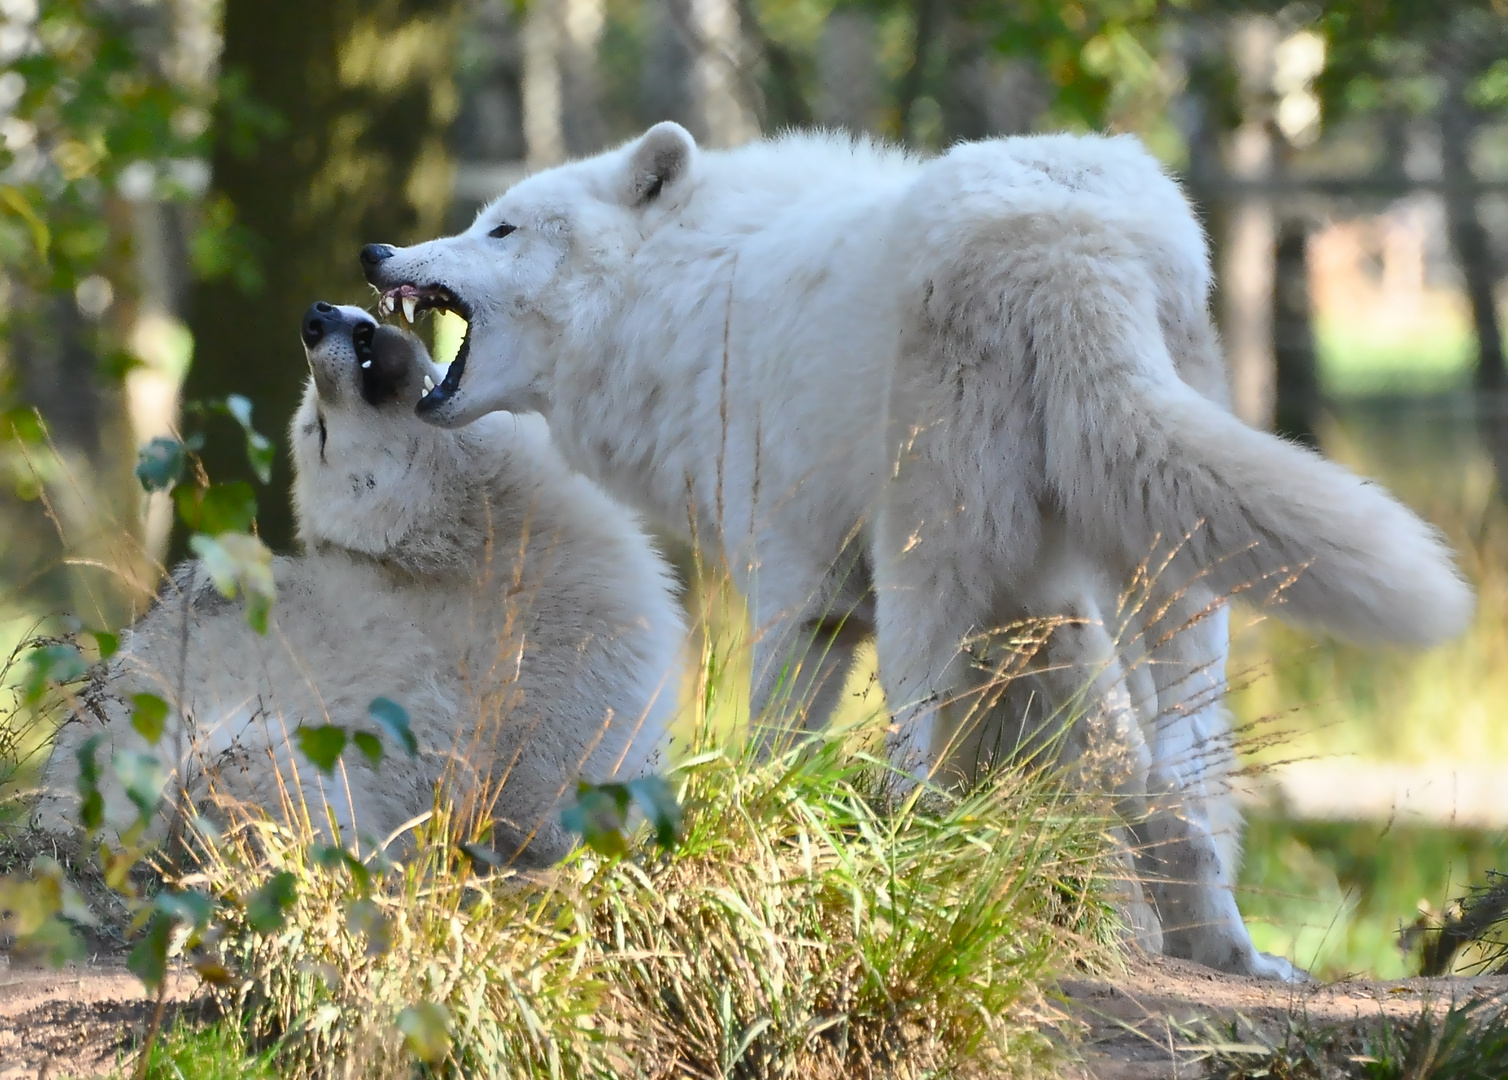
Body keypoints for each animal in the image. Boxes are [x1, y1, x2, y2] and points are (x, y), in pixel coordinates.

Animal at [36, 301, 684, 862]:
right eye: (320, 431)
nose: (315, 318)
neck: (473, 547)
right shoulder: (552, 722)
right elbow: (548, 832)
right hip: (254, 758)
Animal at [361, 122, 1471, 977]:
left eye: (500, 227)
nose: (375, 251)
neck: (691, 301)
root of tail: (1076, 245)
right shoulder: (1037, 606)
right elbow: (1115, 772)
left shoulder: (804, 601)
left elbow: (773, 747)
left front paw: (761, 849)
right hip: (1161, 581)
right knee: (1183, 784)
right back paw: (1229, 954)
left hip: (922, 585)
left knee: (927, 766)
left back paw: (908, 879)